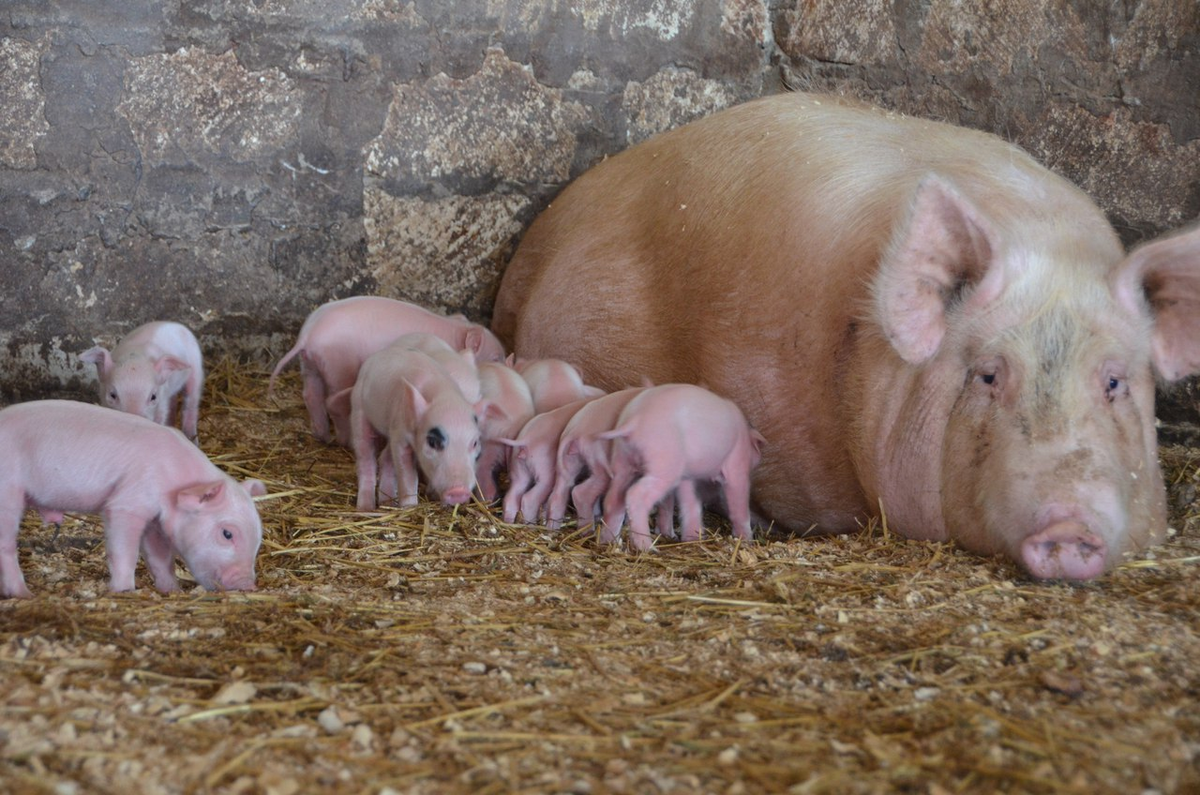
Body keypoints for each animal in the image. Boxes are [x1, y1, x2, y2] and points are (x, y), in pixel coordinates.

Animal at [0, 401, 265, 600]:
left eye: (259, 538)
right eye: (227, 534)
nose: (249, 585)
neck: (172, 479)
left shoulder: (155, 522)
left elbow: (160, 558)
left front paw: (173, 591)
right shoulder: (127, 502)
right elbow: (124, 551)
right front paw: (125, 590)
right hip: (8, 491)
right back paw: (24, 594)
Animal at [270, 299, 504, 449]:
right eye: (496, 358)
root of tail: (307, 335)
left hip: (310, 364)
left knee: (311, 395)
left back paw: (322, 436)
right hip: (338, 364)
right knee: (332, 400)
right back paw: (344, 440)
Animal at [597, 386, 758, 554]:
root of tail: (633, 421)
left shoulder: (686, 476)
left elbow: (690, 504)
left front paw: (692, 539)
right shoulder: (736, 464)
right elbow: (739, 504)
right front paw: (747, 540)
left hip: (622, 463)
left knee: (612, 500)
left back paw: (608, 542)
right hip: (663, 464)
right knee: (636, 495)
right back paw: (648, 548)